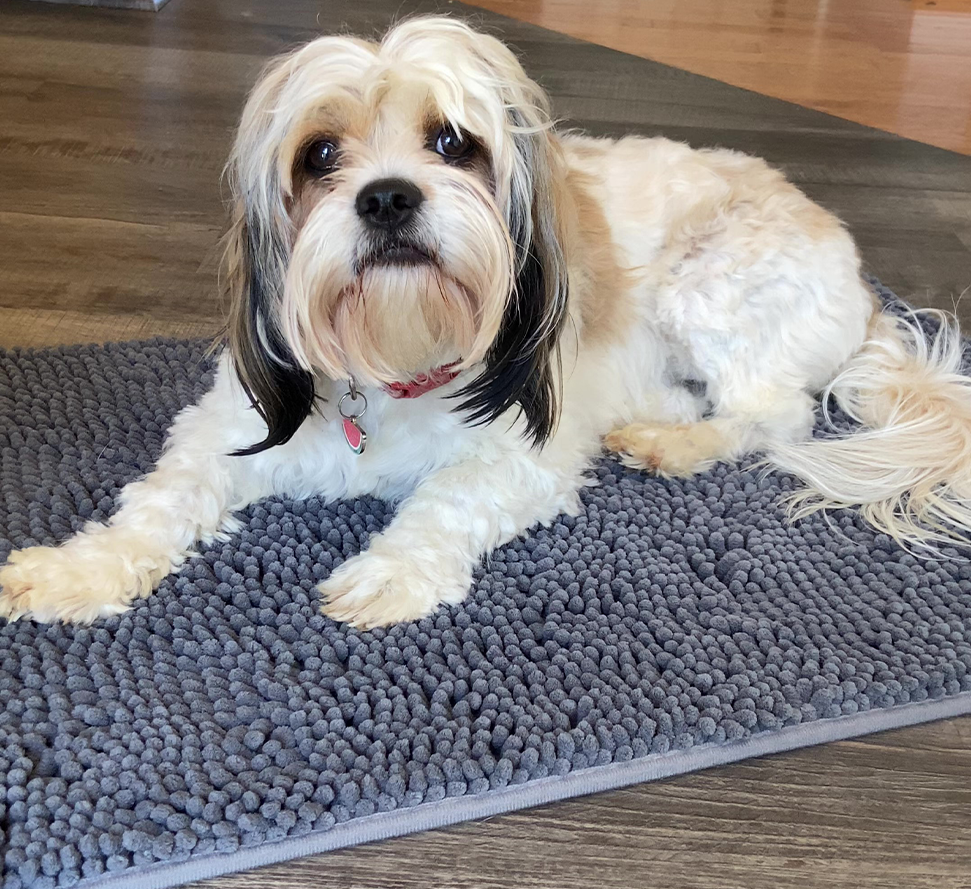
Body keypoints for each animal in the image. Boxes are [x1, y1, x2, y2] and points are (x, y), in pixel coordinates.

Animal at [1, 15, 971, 624]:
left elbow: (447, 498)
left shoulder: (524, 450)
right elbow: (158, 501)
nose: (388, 195)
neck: (393, 354)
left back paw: (679, 444)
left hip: (716, 285)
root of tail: (861, 277)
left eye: (451, 142)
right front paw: (74, 568)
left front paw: (391, 571)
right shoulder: (229, 422)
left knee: (773, 414)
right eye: (319, 153)